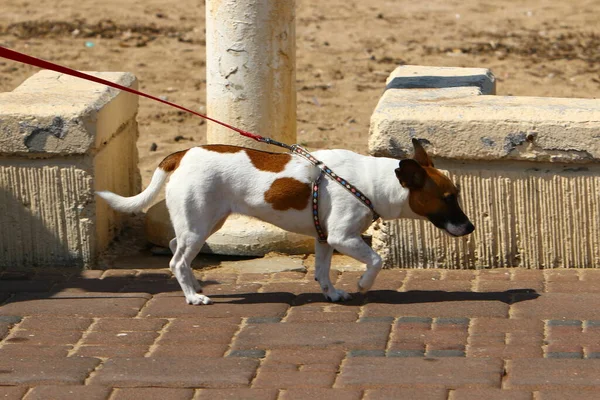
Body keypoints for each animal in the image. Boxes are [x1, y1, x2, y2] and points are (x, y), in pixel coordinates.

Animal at [97, 139, 474, 304]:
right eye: (448, 197)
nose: (470, 228)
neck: (370, 182)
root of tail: (180, 154)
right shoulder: (342, 238)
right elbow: (376, 260)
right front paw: (364, 284)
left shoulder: (324, 239)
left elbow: (322, 271)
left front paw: (332, 293)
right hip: (198, 225)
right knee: (176, 260)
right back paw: (193, 296)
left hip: (205, 223)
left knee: (177, 249)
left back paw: (195, 285)